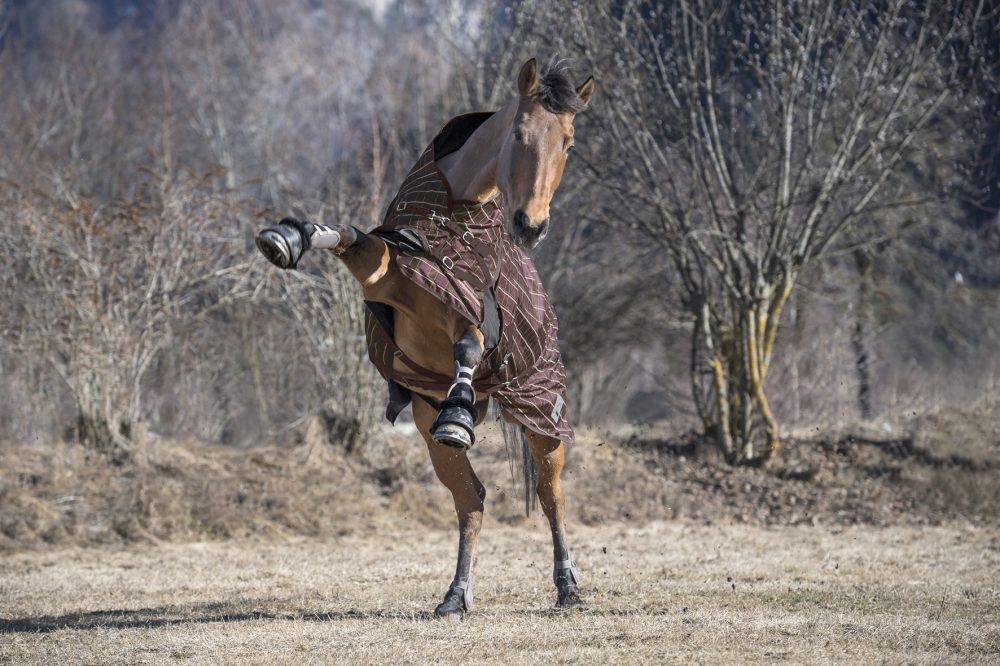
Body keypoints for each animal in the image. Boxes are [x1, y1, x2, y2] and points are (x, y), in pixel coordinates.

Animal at [256, 58, 592, 616]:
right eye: (518, 134)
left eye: (568, 143)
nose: (530, 226)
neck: (451, 212)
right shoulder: (386, 275)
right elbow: (351, 237)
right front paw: (287, 238)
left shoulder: (469, 308)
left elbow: (469, 344)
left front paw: (458, 409)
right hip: (425, 421)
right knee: (472, 501)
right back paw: (456, 595)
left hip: (543, 410)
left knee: (551, 494)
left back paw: (567, 586)